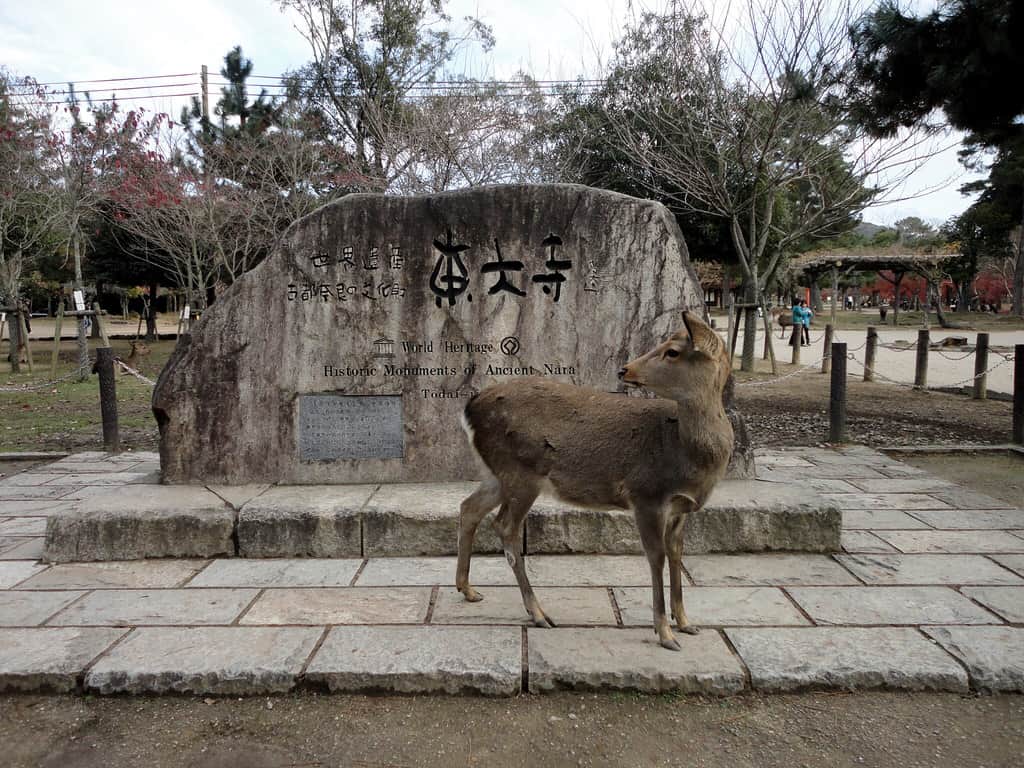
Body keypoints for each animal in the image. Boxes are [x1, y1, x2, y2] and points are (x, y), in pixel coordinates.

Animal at [456, 310, 734, 651]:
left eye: (672, 351)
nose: (625, 368)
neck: (687, 458)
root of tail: (469, 409)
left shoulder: (681, 508)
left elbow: (676, 554)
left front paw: (686, 623)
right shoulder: (646, 495)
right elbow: (656, 557)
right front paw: (665, 634)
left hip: (496, 474)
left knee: (469, 507)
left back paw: (468, 589)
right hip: (521, 473)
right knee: (505, 526)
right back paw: (538, 613)